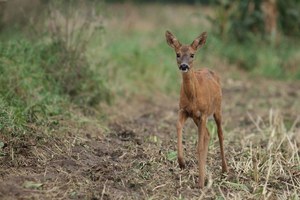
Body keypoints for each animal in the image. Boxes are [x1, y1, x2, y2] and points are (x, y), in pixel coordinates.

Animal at [165, 30, 229, 188]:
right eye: (177, 54)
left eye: (192, 55)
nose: (184, 66)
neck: (193, 97)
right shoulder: (184, 110)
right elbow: (178, 126)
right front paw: (182, 163)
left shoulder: (204, 113)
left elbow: (199, 147)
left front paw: (200, 183)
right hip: (196, 118)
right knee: (207, 135)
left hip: (217, 109)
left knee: (220, 133)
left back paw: (224, 170)